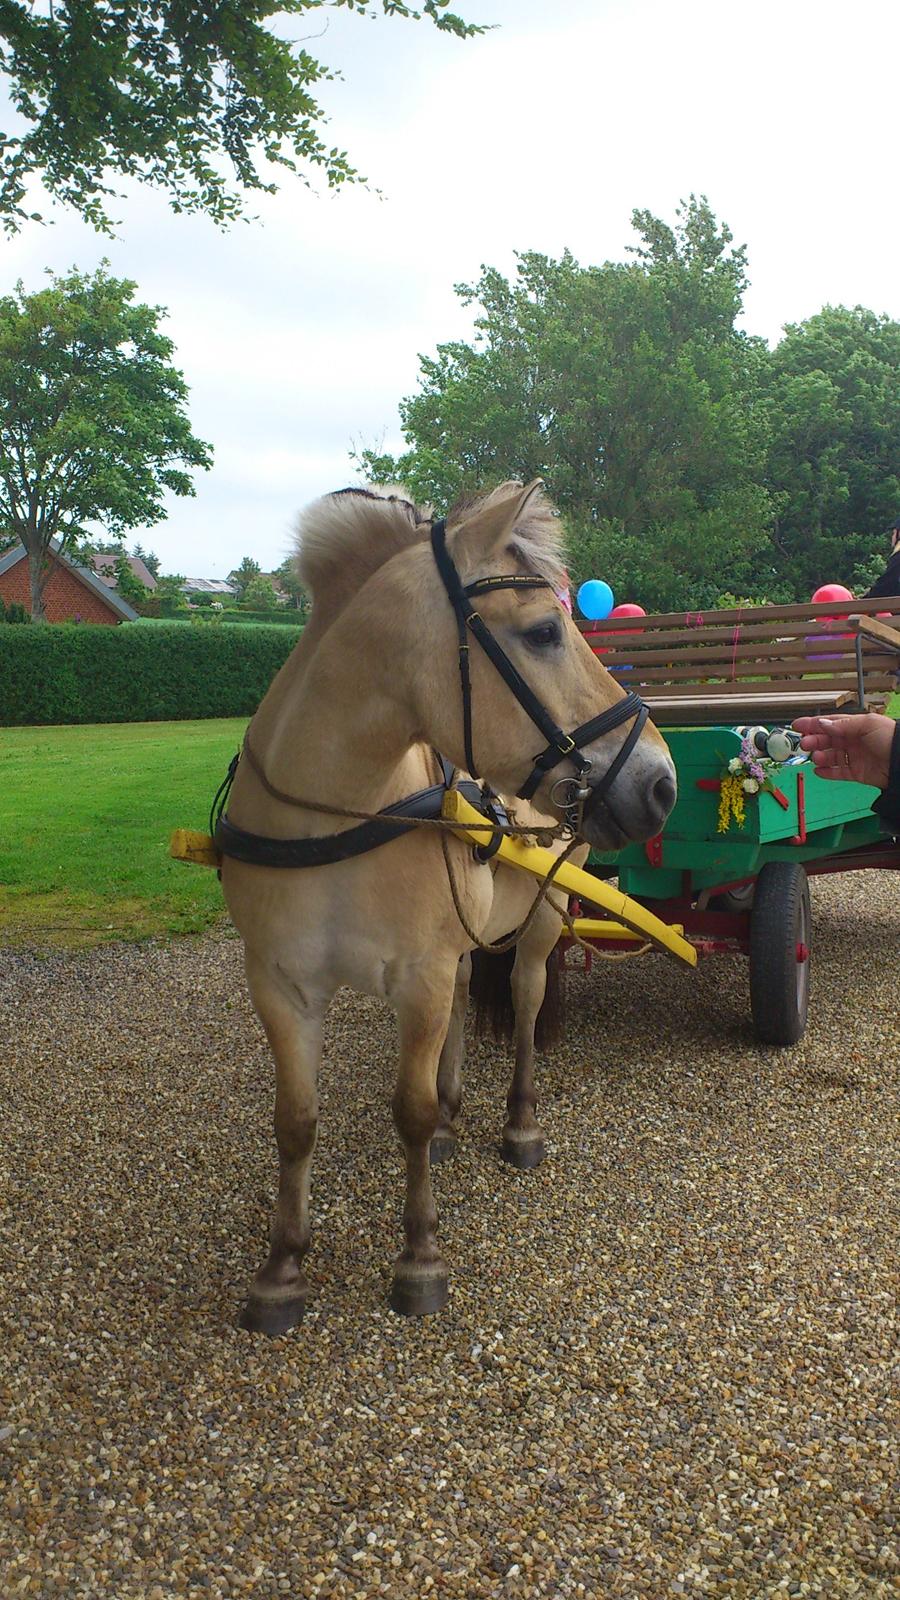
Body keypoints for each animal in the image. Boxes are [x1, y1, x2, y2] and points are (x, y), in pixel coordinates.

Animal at [217, 480, 669, 1331]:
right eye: (543, 631)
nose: (660, 781)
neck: (336, 816)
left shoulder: (417, 976)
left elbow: (411, 1111)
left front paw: (420, 1257)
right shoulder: (281, 984)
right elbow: (295, 1120)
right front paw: (282, 1267)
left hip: (547, 915)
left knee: (523, 1001)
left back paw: (517, 1125)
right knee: (466, 998)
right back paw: (460, 1114)